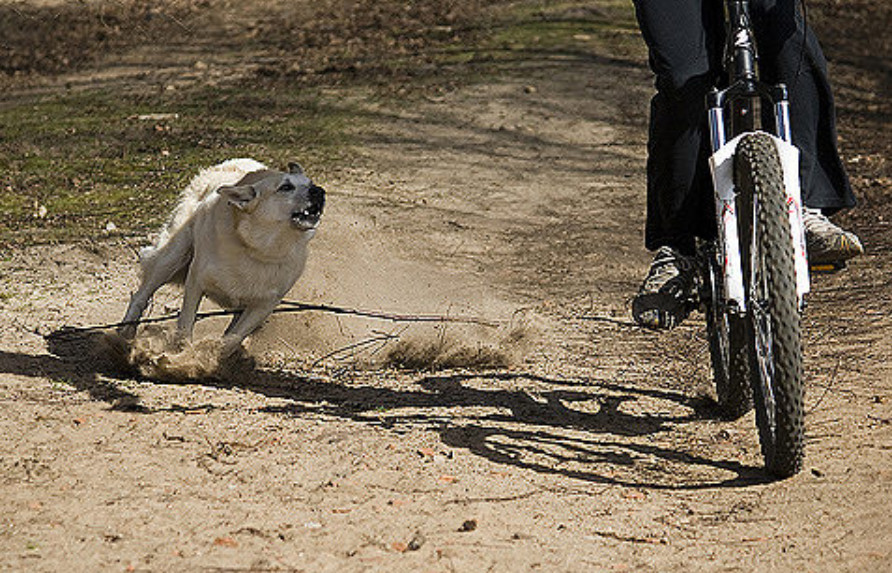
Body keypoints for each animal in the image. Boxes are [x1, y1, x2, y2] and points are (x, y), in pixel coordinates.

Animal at [120, 156, 324, 354]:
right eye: (286, 187)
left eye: (311, 183)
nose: (319, 191)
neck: (257, 249)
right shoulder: (195, 281)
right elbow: (185, 325)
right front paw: (183, 355)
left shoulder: (263, 306)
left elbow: (232, 338)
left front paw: (213, 356)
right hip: (172, 256)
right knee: (140, 296)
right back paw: (125, 332)